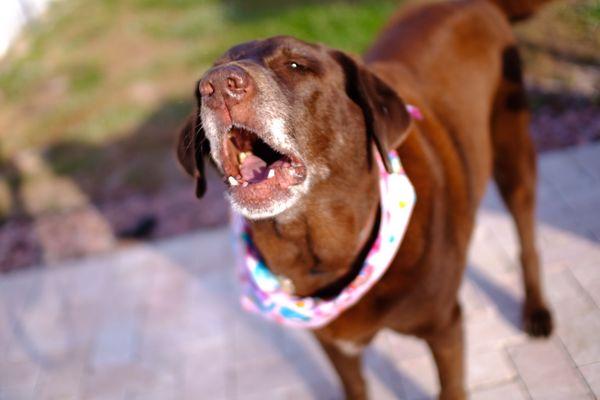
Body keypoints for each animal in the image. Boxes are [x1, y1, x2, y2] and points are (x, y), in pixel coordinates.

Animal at [176, 1, 556, 398]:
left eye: (296, 66)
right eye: (205, 82)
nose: (219, 85)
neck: (322, 252)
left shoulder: (444, 327)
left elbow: (450, 386)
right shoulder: (335, 344)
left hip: (513, 152)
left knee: (526, 236)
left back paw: (536, 309)